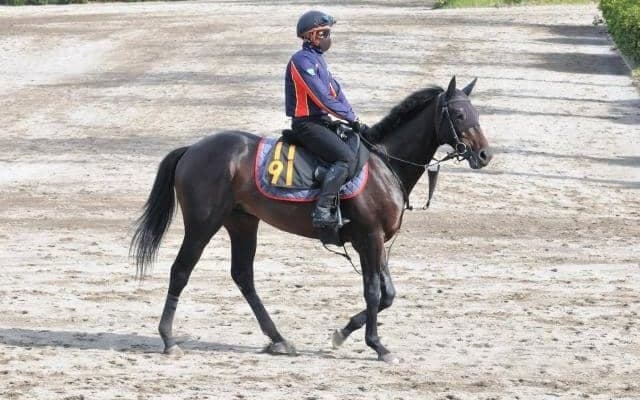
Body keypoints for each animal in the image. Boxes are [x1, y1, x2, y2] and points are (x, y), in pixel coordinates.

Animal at [131, 76, 493, 363]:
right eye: (459, 114)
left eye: (476, 114)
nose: (484, 155)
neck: (385, 162)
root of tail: (193, 148)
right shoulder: (370, 238)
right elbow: (374, 293)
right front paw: (377, 345)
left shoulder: (373, 242)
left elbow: (386, 294)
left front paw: (343, 332)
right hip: (203, 224)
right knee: (181, 271)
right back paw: (168, 339)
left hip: (242, 222)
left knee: (243, 276)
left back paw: (278, 339)